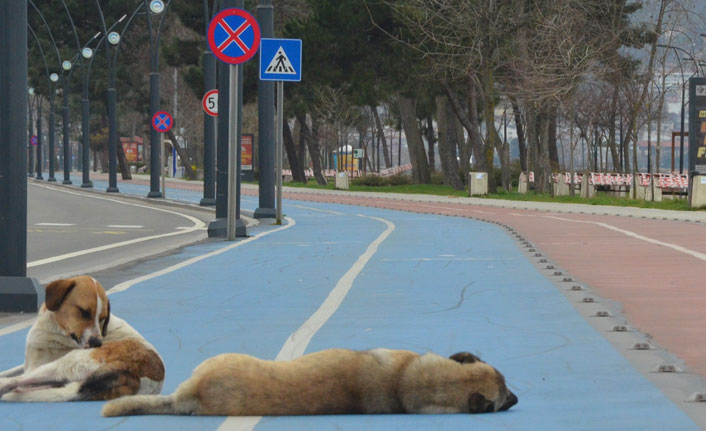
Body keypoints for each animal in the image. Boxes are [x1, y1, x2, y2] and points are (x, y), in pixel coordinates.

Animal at [0, 276, 164, 404]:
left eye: (102, 318)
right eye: (84, 312)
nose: (97, 343)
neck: (57, 328)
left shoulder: (37, 365)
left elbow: (16, 375)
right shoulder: (29, 364)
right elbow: (12, 370)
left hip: (68, 362)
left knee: (17, 382)